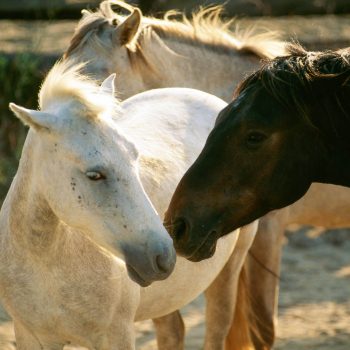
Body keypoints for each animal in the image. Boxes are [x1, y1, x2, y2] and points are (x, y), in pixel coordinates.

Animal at [0, 61, 258, 348]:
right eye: (94, 175)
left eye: (135, 156)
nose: (164, 256)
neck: (47, 263)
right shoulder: (32, 336)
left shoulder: (116, 335)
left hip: (229, 270)